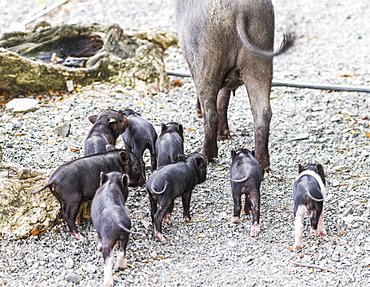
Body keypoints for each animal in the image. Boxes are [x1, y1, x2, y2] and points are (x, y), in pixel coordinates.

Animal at [176, 0, 294, 172]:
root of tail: (240, 11)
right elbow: (224, 97)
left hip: (206, 59)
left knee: (210, 113)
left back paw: (206, 155)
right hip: (260, 59)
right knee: (263, 113)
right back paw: (262, 164)